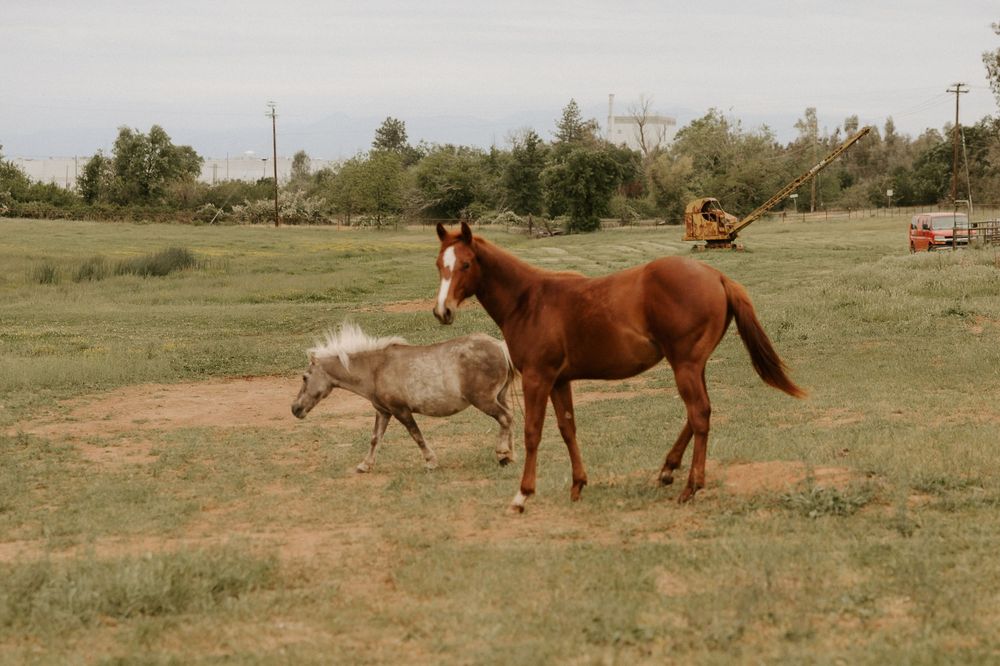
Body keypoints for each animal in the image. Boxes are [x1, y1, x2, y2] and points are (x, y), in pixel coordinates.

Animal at [291, 322, 516, 472]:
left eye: (304, 377)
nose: (295, 408)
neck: (375, 369)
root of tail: (499, 346)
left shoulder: (401, 411)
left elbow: (416, 435)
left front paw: (431, 462)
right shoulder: (383, 412)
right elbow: (375, 439)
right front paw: (365, 465)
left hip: (484, 400)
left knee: (505, 418)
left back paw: (502, 454)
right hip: (499, 397)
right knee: (509, 419)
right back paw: (510, 456)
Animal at [433, 221, 805, 512]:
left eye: (466, 264)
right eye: (439, 264)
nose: (442, 311)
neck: (529, 301)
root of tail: (717, 276)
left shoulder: (538, 378)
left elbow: (532, 433)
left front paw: (522, 495)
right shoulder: (559, 380)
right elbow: (568, 428)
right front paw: (578, 485)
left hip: (685, 365)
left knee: (699, 414)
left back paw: (690, 486)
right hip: (692, 365)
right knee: (700, 412)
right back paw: (668, 470)